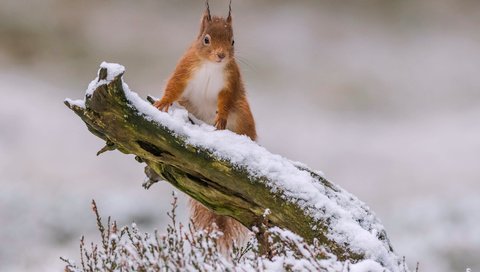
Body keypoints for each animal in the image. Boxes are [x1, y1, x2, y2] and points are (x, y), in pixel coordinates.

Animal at [156, 0, 256, 251]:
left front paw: (220, 119)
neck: (211, 66)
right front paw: (162, 103)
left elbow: (225, 102)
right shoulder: (184, 69)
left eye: (233, 41)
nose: (221, 55)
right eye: (206, 39)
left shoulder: (230, 82)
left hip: (243, 115)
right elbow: (174, 87)